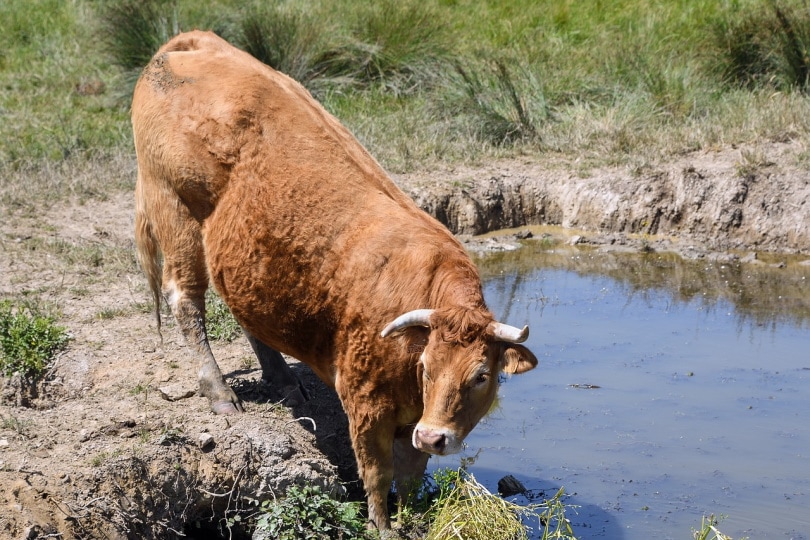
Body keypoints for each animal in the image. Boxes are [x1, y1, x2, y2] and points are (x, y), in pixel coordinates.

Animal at [133, 30, 536, 532]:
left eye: (482, 375)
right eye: (427, 367)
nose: (434, 435)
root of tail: (192, 41)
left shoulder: (412, 422)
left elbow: (411, 472)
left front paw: (414, 516)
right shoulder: (366, 406)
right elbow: (378, 473)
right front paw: (382, 527)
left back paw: (283, 379)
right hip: (175, 212)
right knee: (186, 301)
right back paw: (219, 392)